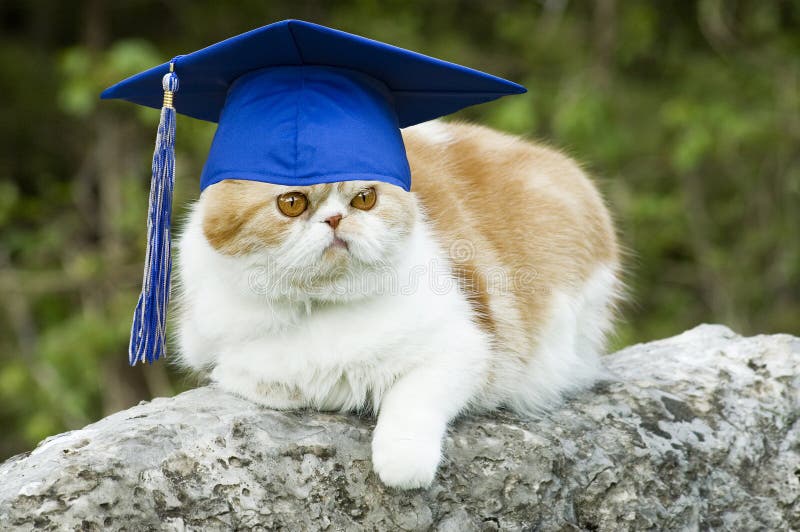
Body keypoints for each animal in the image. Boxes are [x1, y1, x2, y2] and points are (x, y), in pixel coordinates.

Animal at [177, 120, 624, 490]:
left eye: (364, 198)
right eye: (292, 203)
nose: (336, 219)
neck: (319, 305)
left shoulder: (466, 347)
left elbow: (412, 401)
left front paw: (403, 464)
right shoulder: (211, 347)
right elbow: (245, 373)